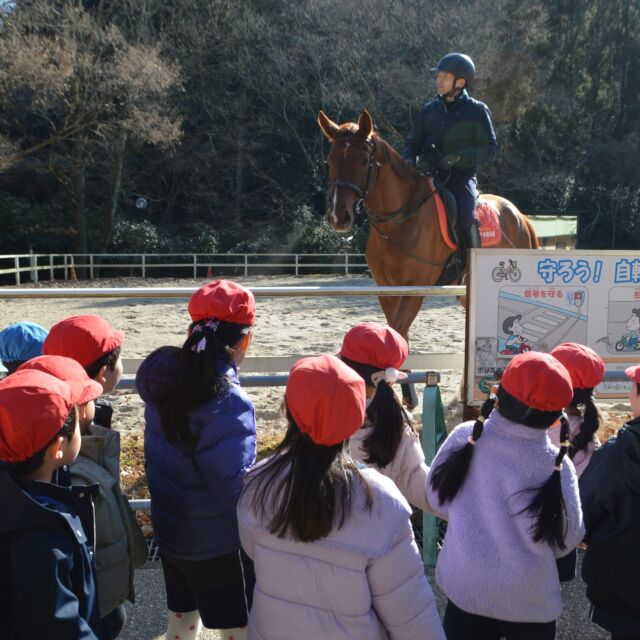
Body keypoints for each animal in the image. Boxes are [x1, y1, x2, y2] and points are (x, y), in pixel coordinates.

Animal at [317, 109, 539, 343]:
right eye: (329, 161)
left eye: (362, 161)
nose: (339, 216)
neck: (398, 222)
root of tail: (520, 216)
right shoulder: (387, 290)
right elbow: (398, 332)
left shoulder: (415, 289)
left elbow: (397, 331)